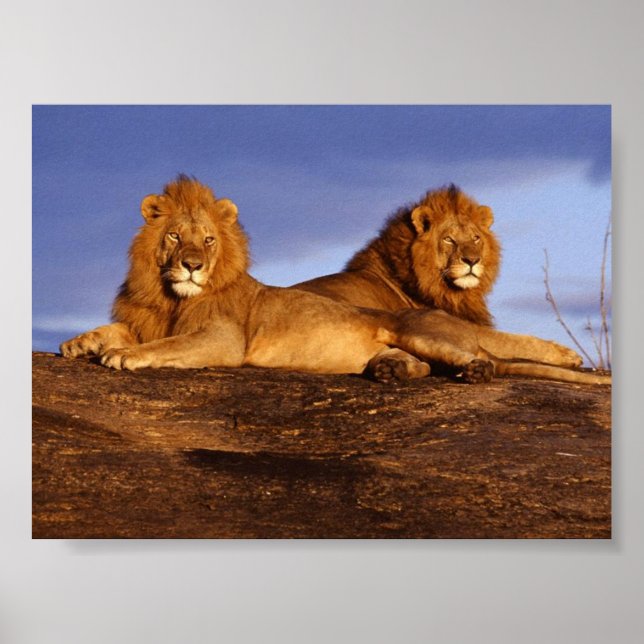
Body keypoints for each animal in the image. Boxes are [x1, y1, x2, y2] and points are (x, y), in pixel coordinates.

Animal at [60, 176, 610, 386]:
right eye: (175, 236)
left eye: (209, 240)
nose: (192, 264)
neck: (170, 296)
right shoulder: (148, 318)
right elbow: (117, 330)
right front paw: (80, 343)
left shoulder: (222, 339)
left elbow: (163, 346)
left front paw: (124, 356)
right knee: (428, 366)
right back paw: (391, 370)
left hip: (421, 329)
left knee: (485, 358)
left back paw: (475, 371)